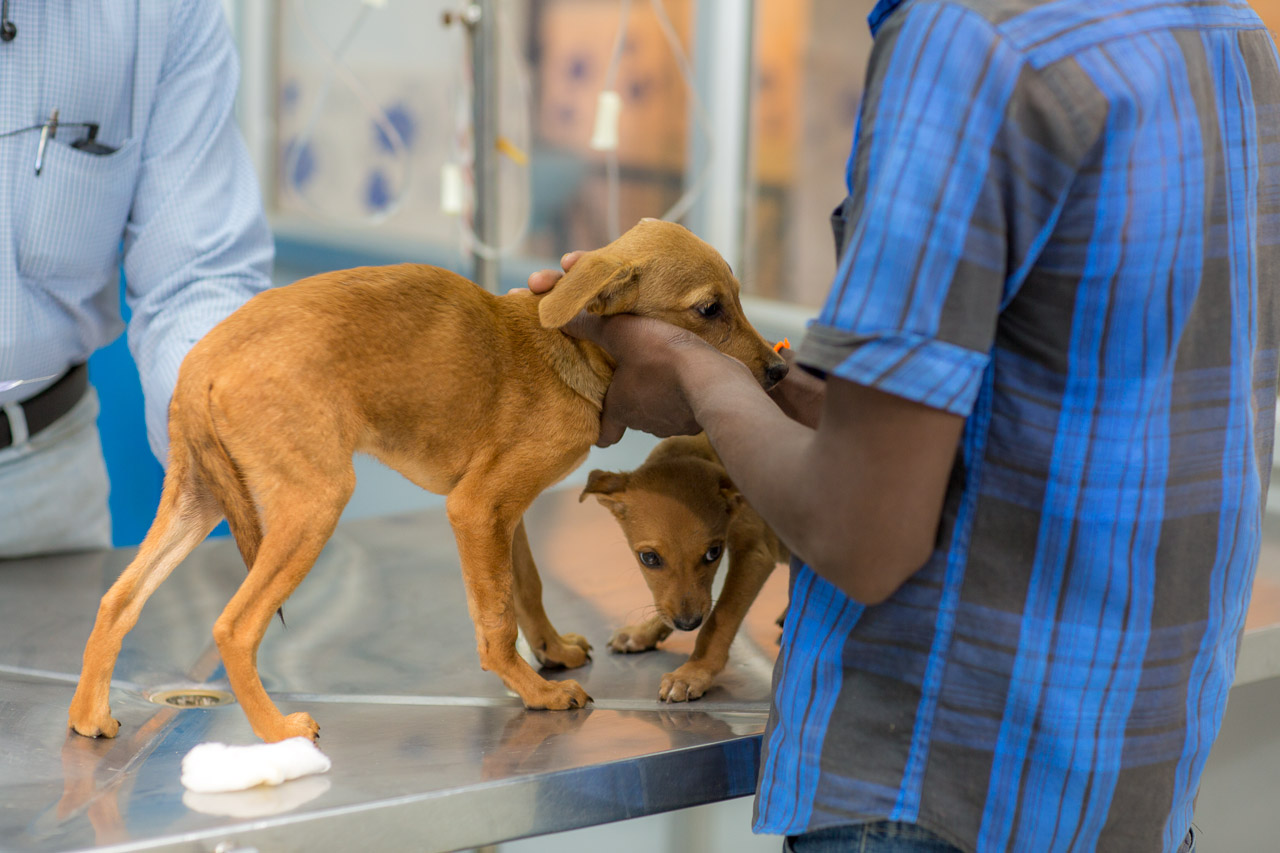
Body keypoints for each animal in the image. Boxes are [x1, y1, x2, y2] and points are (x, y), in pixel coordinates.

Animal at [581, 433, 788, 702]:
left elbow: (720, 617)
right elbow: (667, 605)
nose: (688, 625)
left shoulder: (754, 552)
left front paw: (694, 672)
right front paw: (643, 633)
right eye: (649, 557)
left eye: (714, 552)